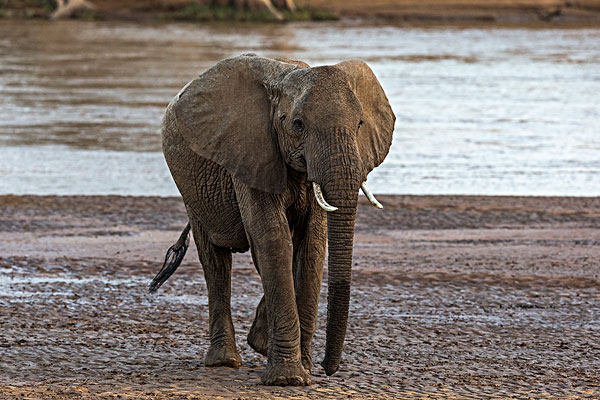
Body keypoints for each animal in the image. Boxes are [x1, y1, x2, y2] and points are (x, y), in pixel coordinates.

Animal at [148, 54, 396, 386]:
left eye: (359, 124)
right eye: (298, 124)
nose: (328, 368)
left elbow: (311, 245)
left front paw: (303, 369)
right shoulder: (250, 150)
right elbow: (273, 239)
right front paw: (288, 379)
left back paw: (259, 344)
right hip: (191, 188)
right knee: (215, 259)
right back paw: (224, 361)